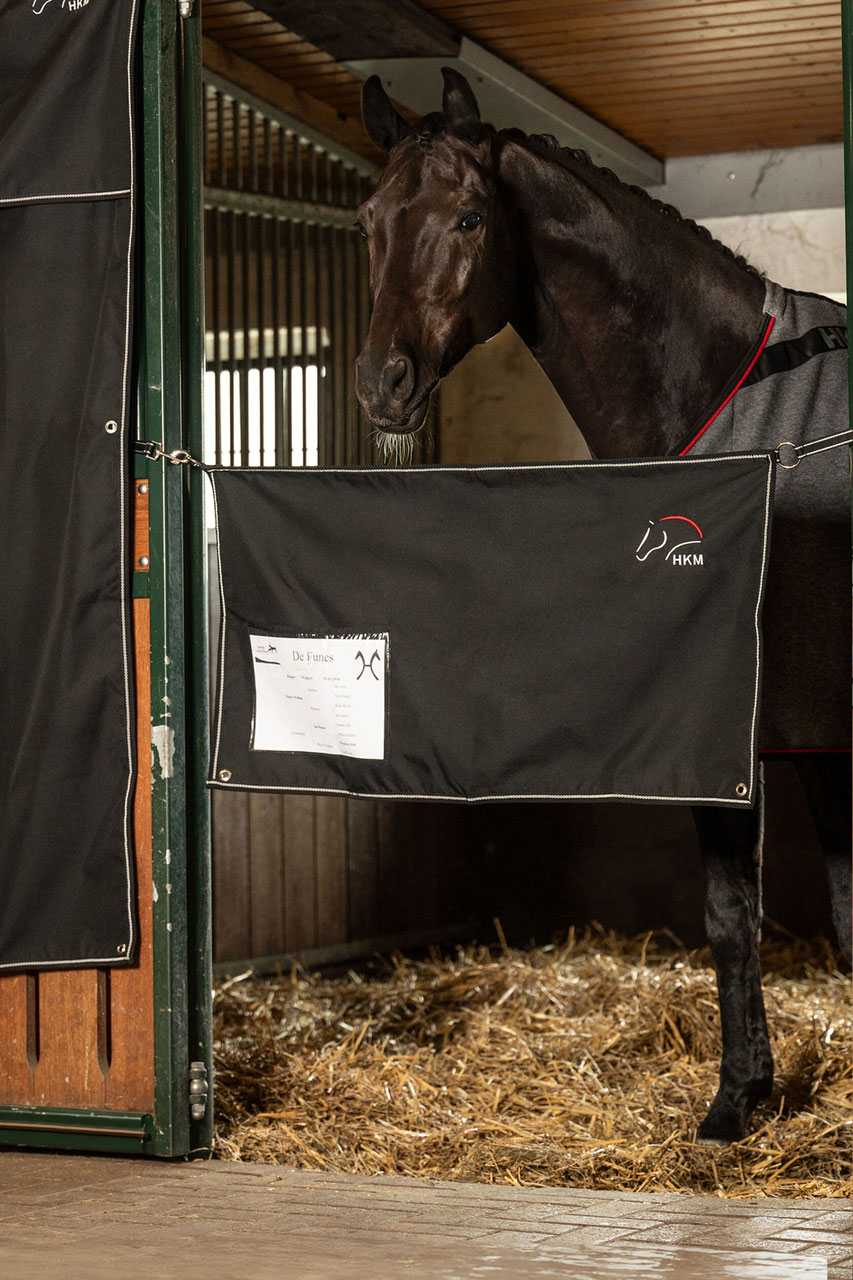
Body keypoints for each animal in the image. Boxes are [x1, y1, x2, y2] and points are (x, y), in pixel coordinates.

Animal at [354, 68, 851, 1146]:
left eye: (468, 217)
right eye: (369, 219)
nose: (381, 384)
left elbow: (748, 911)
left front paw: (735, 1099)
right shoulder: (807, 734)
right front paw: (745, 1095)